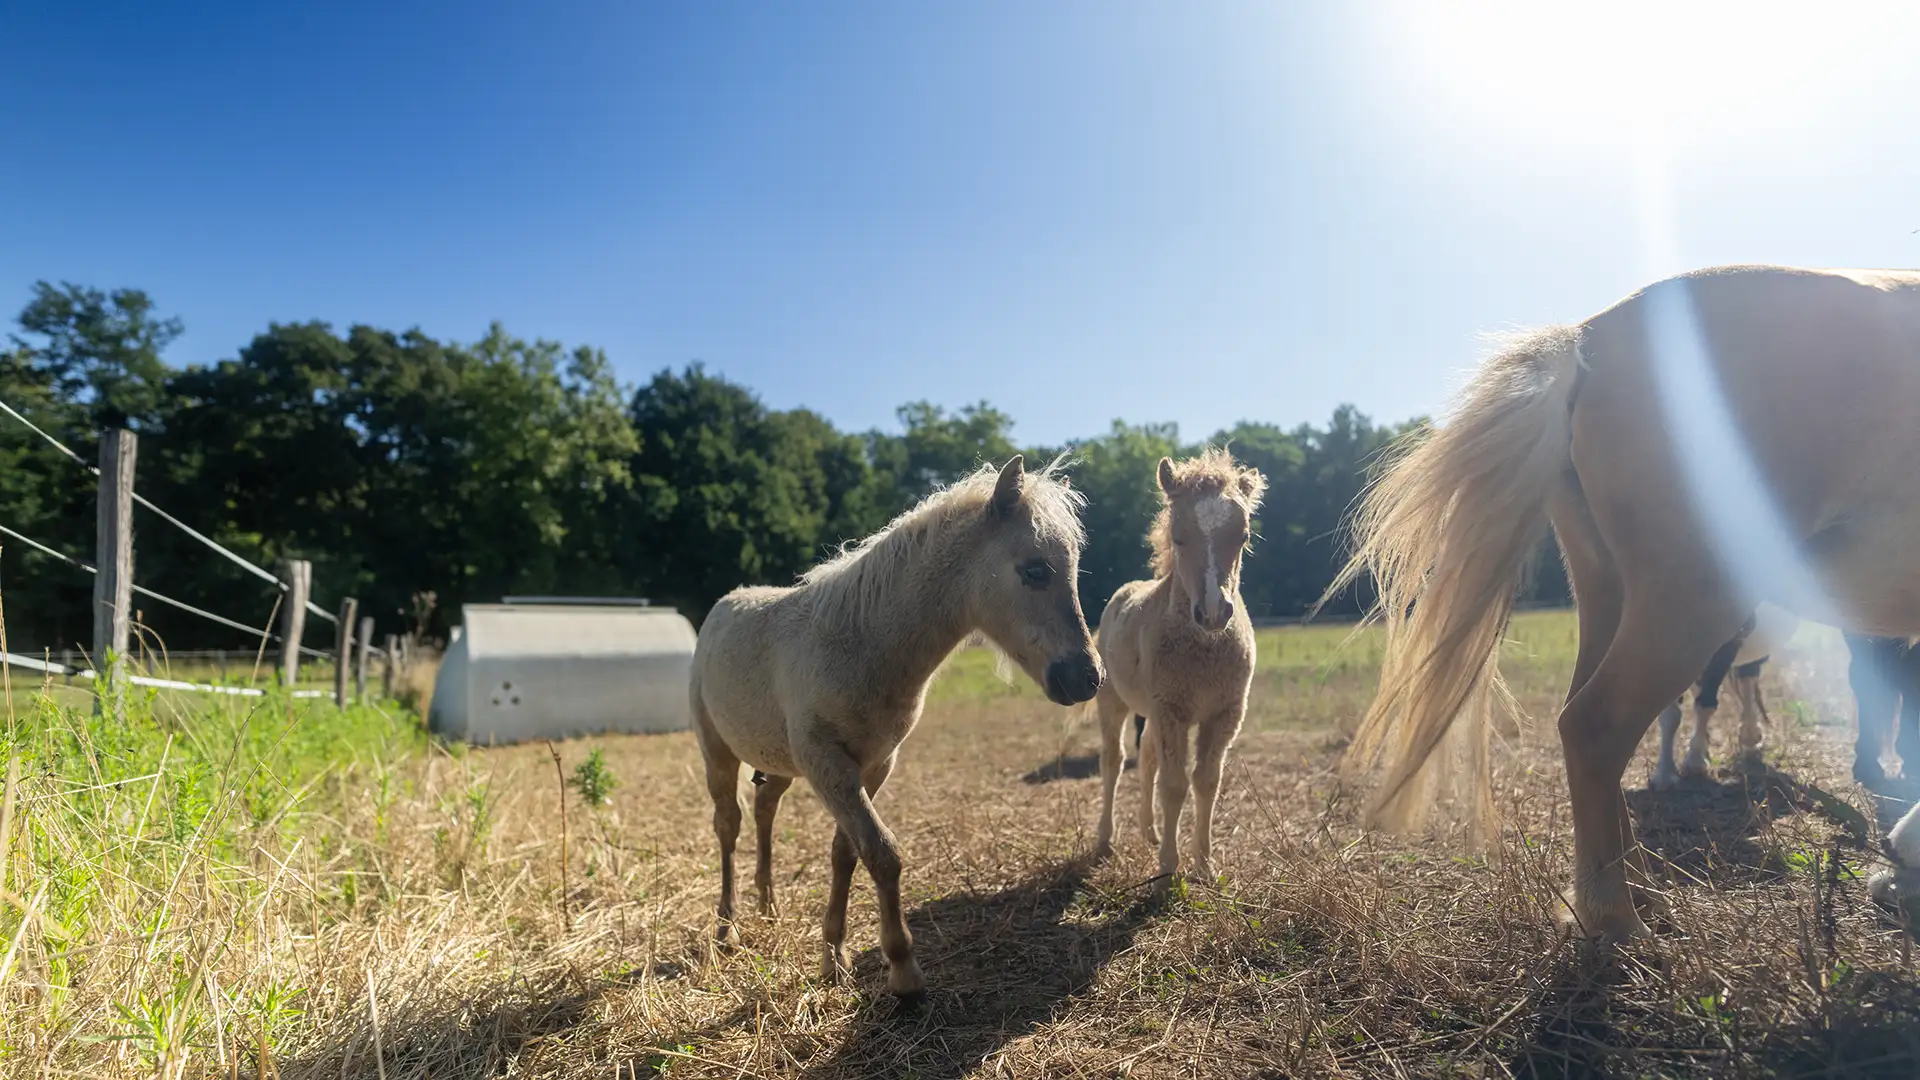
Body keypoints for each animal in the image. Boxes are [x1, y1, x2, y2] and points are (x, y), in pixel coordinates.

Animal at [688, 455, 1105, 999]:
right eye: (1035, 571)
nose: (1088, 676)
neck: (861, 644)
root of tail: (721, 607)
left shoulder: (875, 764)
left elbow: (846, 852)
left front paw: (834, 955)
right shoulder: (827, 764)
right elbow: (883, 853)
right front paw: (903, 970)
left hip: (776, 762)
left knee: (764, 811)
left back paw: (769, 907)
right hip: (718, 752)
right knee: (728, 824)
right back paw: (728, 927)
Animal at [1088, 450, 1267, 885]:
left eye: (1243, 536)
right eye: (1178, 536)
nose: (1214, 613)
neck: (1203, 652)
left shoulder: (1224, 714)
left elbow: (1205, 782)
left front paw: (1204, 863)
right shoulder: (1172, 711)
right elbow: (1174, 785)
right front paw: (1169, 866)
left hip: (1151, 714)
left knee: (1147, 759)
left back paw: (1149, 830)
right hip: (1114, 703)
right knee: (1113, 761)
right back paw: (1105, 839)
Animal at [1648, 604, 1796, 788]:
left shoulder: (1725, 645)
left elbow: (1705, 705)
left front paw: (1695, 761)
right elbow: (1669, 715)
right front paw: (1664, 774)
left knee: (1747, 679)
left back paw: (1749, 735)